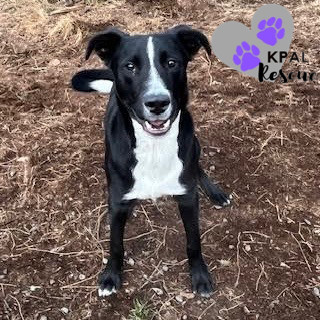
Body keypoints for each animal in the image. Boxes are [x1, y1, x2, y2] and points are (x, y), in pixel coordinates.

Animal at [71, 25, 231, 298]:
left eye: (172, 63)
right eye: (130, 67)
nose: (157, 103)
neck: (154, 146)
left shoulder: (188, 199)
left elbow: (194, 241)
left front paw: (200, 276)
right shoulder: (116, 201)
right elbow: (115, 243)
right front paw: (110, 276)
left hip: (194, 144)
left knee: (198, 167)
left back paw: (215, 192)